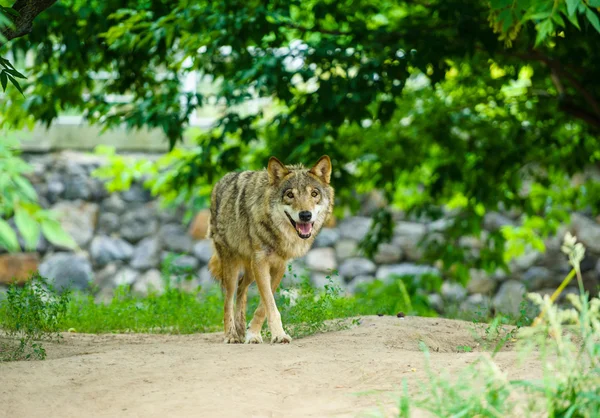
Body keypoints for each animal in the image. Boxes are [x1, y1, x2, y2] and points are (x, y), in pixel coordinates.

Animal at [209, 155, 336, 344]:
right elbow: (270, 304)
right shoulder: (261, 263)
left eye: (314, 194)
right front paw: (277, 335)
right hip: (232, 266)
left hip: (250, 270)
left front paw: (253, 333)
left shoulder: (278, 266)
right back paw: (231, 335)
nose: (305, 215)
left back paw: (241, 330)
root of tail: (219, 183)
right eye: (290, 195)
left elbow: (263, 307)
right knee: (228, 299)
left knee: (241, 289)